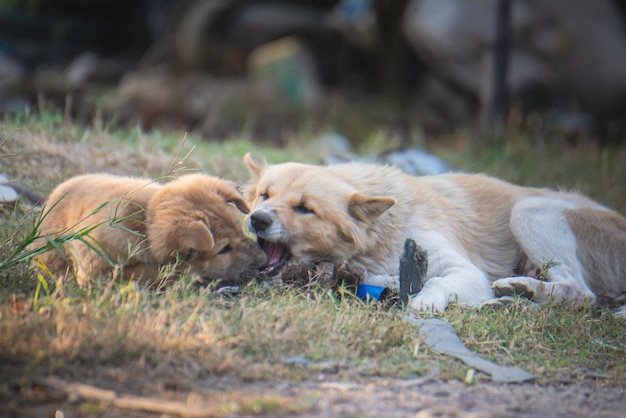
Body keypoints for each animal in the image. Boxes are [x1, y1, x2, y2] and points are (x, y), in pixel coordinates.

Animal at [33, 173, 266, 288]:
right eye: (224, 249)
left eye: (240, 230)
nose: (263, 263)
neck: (145, 226)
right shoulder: (97, 271)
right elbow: (148, 272)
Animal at [244, 153, 624, 314]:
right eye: (264, 195)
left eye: (305, 208)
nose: (257, 220)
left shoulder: (466, 271)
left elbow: (437, 282)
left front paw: (424, 299)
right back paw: (512, 296)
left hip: (529, 211)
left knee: (582, 292)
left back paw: (523, 288)